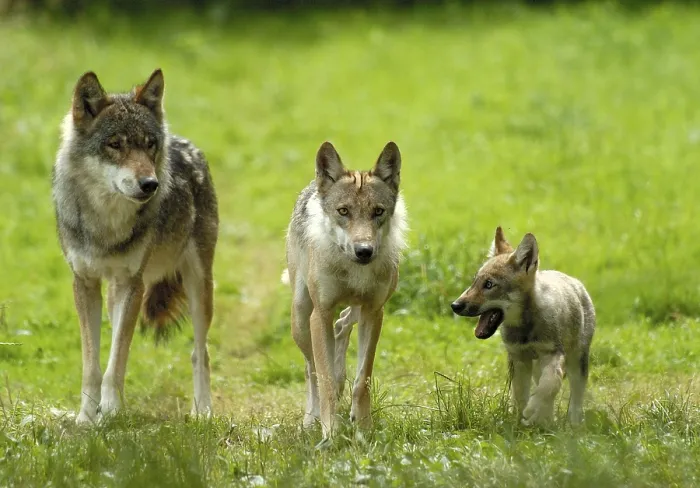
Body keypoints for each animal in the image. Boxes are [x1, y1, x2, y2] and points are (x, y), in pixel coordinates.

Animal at [52, 69, 218, 424]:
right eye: (115, 145)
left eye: (149, 144)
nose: (150, 184)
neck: (106, 224)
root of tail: (184, 142)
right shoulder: (84, 283)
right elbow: (94, 365)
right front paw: (87, 417)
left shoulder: (134, 284)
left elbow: (115, 362)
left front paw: (112, 412)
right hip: (115, 295)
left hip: (198, 285)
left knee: (200, 352)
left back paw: (203, 412)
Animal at [283, 141, 407, 441]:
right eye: (343, 211)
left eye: (378, 211)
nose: (364, 251)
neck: (354, 271)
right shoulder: (320, 315)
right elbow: (324, 379)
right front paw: (330, 433)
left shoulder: (374, 313)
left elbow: (362, 380)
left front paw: (364, 430)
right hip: (301, 319)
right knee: (311, 370)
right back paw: (311, 419)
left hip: (355, 312)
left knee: (341, 327)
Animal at [450, 227, 595, 426]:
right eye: (474, 282)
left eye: (489, 284)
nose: (455, 305)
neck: (526, 331)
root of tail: (573, 280)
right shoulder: (518, 359)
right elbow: (521, 395)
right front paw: (522, 421)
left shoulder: (553, 354)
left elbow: (549, 384)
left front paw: (533, 411)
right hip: (537, 366)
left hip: (577, 362)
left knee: (575, 398)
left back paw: (572, 423)